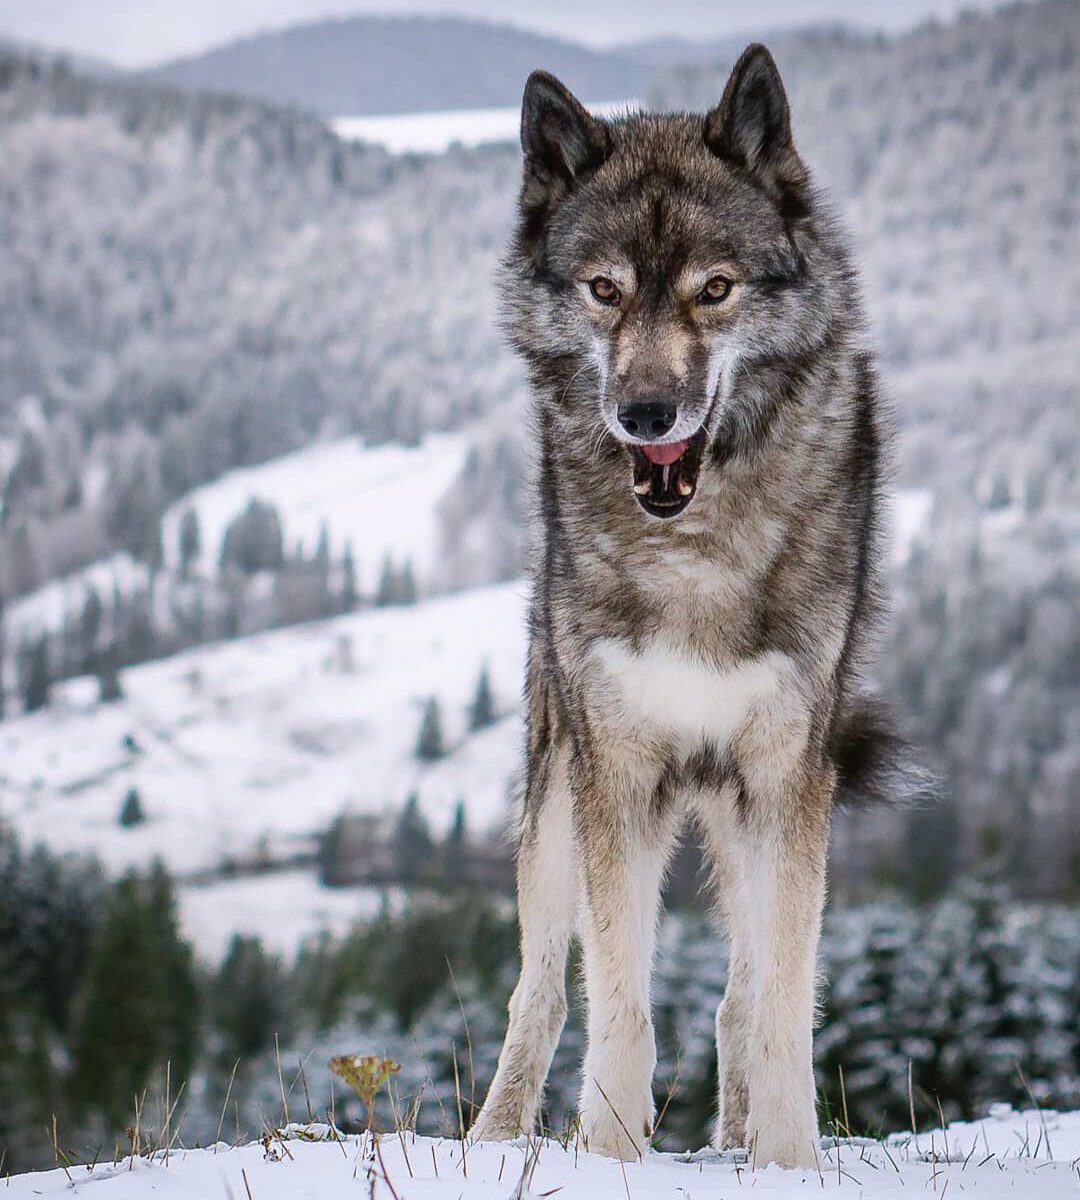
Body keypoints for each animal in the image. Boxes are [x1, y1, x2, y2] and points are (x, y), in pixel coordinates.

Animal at [468, 46, 916, 1171]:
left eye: (715, 290)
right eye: (605, 291)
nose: (646, 414)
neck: (693, 550)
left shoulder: (790, 778)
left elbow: (782, 1004)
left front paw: (790, 1163)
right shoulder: (616, 777)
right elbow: (617, 1002)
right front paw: (607, 1155)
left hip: (748, 811)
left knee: (742, 992)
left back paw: (739, 1133)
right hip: (554, 798)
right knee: (539, 992)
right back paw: (491, 1139)